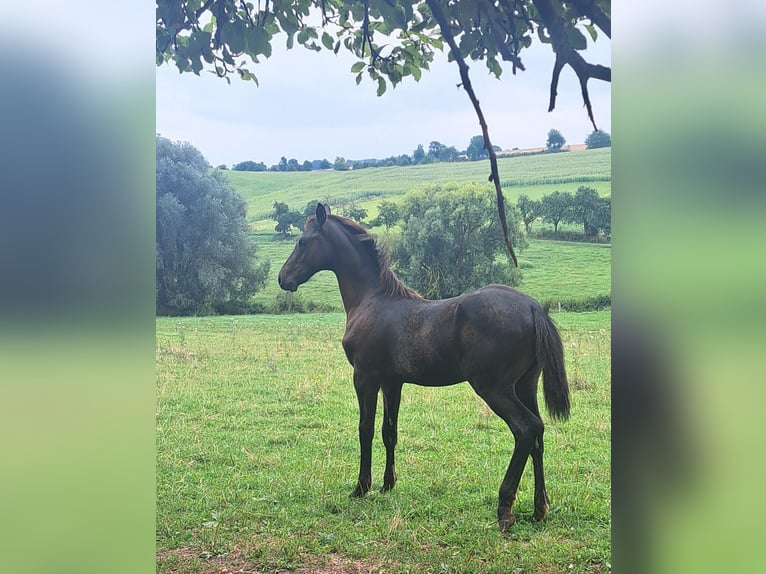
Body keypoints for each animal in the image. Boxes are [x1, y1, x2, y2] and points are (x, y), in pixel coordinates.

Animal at [278, 203, 570, 531]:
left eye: (302, 241)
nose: (283, 278)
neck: (371, 301)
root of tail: (532, 308)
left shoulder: (364, 377)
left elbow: (365, 428)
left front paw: (361, 487)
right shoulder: (392, 382)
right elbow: (389, 430)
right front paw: (387, 484)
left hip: (494, 388)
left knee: (526, 428)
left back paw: (505, 508)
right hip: (525, 385)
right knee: (539, 433)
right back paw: (539, 508)